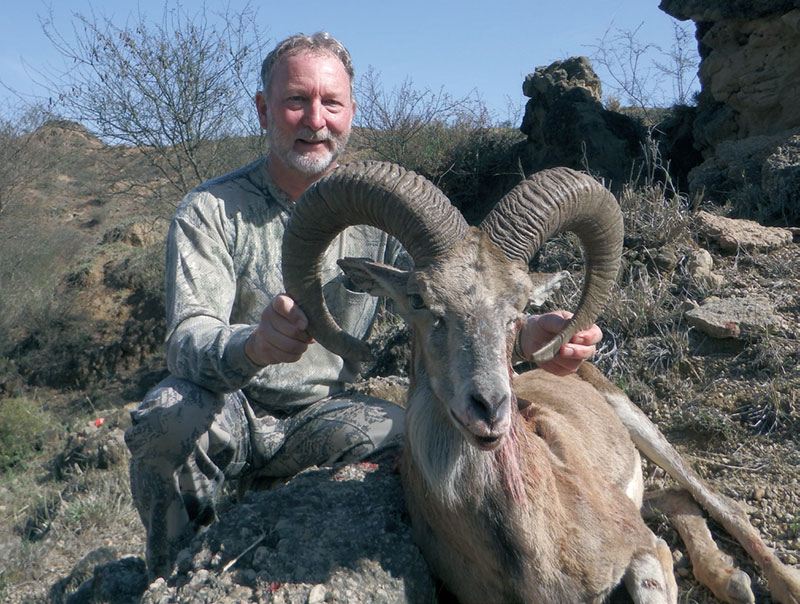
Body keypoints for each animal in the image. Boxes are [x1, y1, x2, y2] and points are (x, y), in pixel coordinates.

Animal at [281, 160, 800, 604]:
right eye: (418, 299)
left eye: (521, 305)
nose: (489, 408)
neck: (530, 545)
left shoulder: (643, 548)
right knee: (673, 497)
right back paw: (731, 580)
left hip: (640, 425)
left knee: (718, 501)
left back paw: (774, 583)